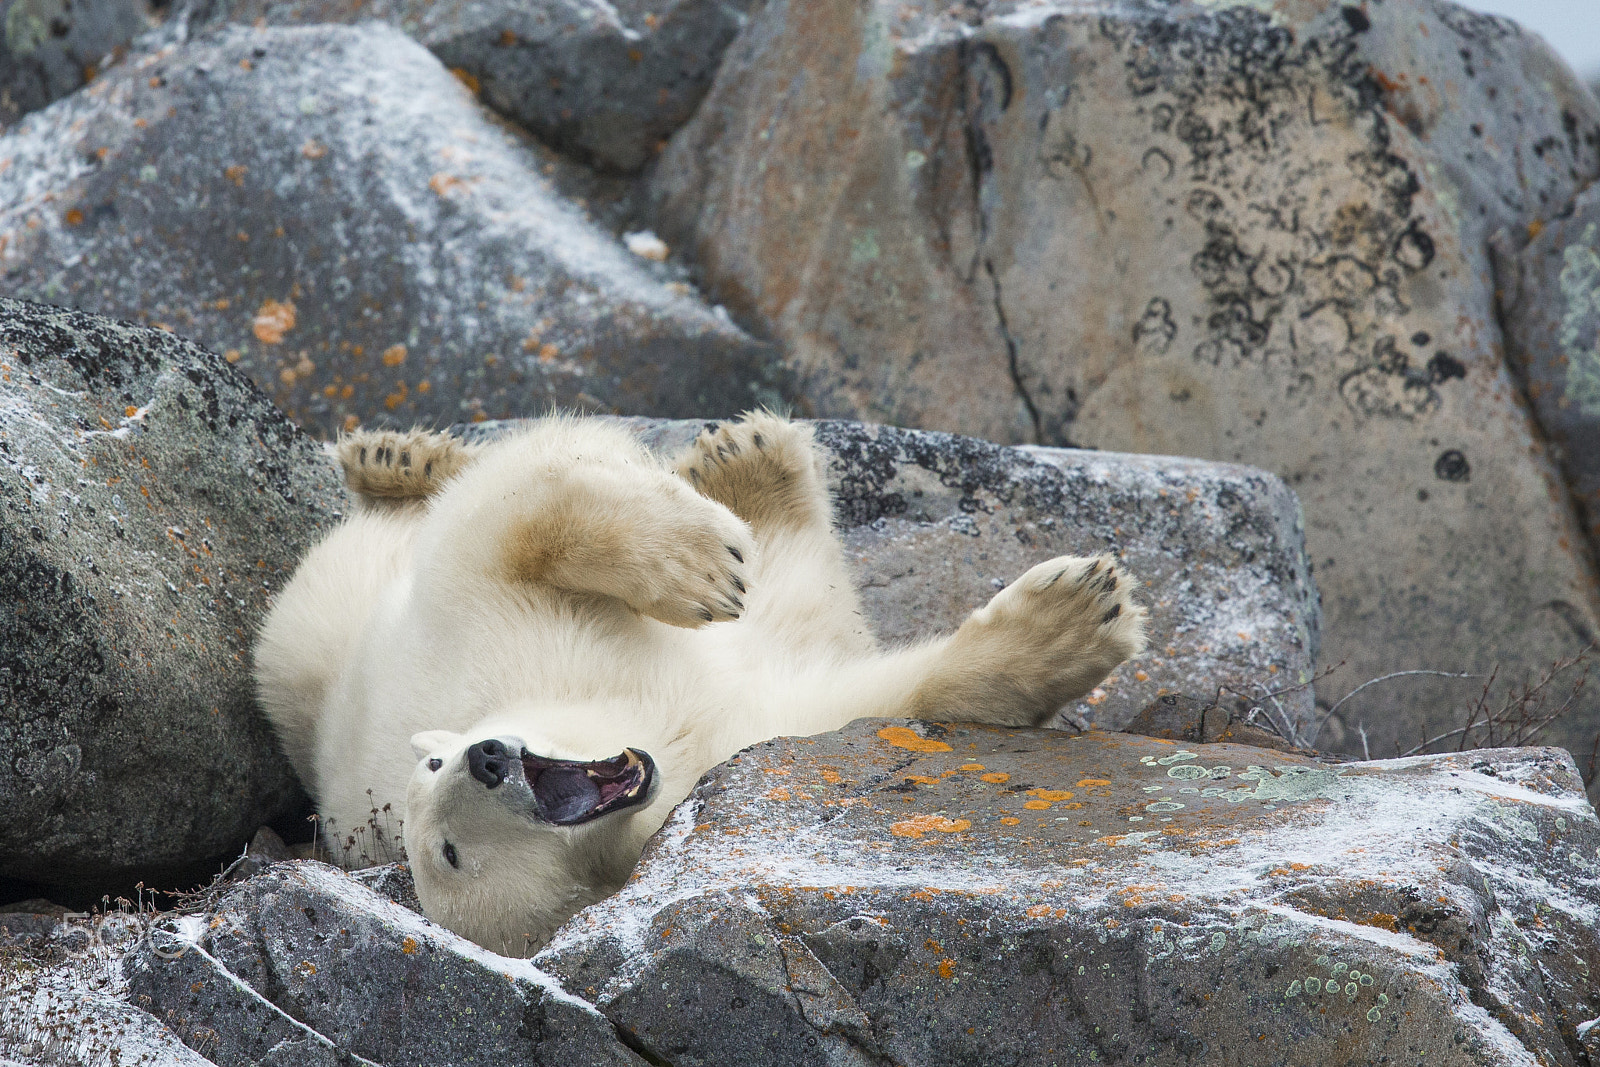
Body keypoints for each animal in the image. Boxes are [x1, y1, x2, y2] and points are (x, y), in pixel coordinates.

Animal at [252, 412, 1152, 953]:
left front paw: (699, 564)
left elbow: (509, 523)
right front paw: (1077, 614)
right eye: (449, 853)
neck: (647, 727)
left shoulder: (499, 639)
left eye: (436, 762)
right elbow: (881, 701)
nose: (489, 759)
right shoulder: (742, 737)